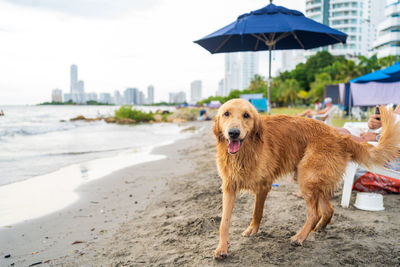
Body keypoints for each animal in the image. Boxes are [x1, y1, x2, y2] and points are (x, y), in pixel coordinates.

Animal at [212, 98, 400, 260]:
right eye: (226, 113)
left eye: (246, 115)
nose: (233, 133)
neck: (246, 151)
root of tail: (340, 136)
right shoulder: (229, 187)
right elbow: (224, 222)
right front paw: (222, 248)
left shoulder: (263, 186)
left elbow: (257, 212)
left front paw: (252, 230)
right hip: (313, 179)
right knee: (328, 210)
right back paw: (318, 228)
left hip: (306, 179)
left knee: (315, 213)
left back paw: (300, 237)